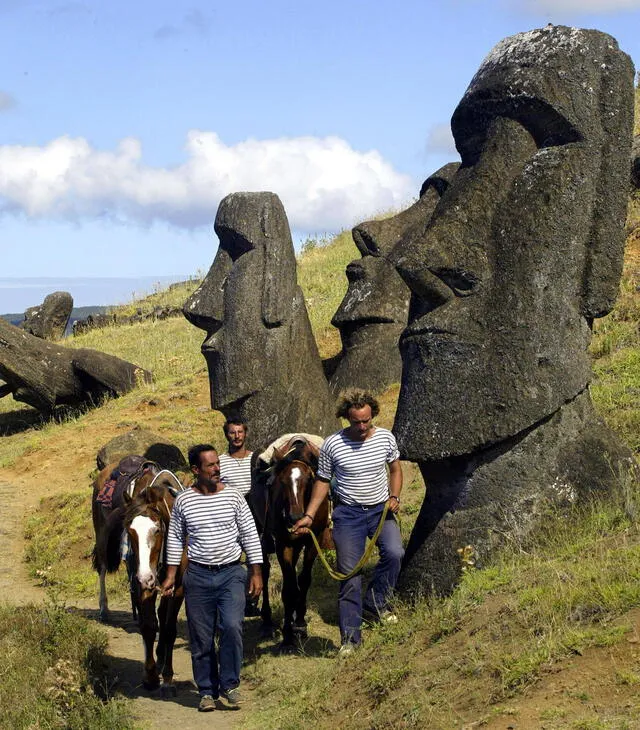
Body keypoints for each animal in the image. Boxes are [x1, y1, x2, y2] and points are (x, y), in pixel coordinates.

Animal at [123, 480, 188, 692]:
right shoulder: (146, 584)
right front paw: (150, 676)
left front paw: (167, 676)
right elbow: (149, 626)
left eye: (157, 530)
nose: (144, 576)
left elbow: (169, 629)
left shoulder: (178, 588)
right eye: (130, 531)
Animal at [268, 436, 332, 652]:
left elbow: (303, 581)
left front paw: (301, 624)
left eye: (309, 480)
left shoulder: (314, 540)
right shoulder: (283, 544)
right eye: (282, 481)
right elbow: (289, 588)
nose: (295, 518)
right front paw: (287, 637)